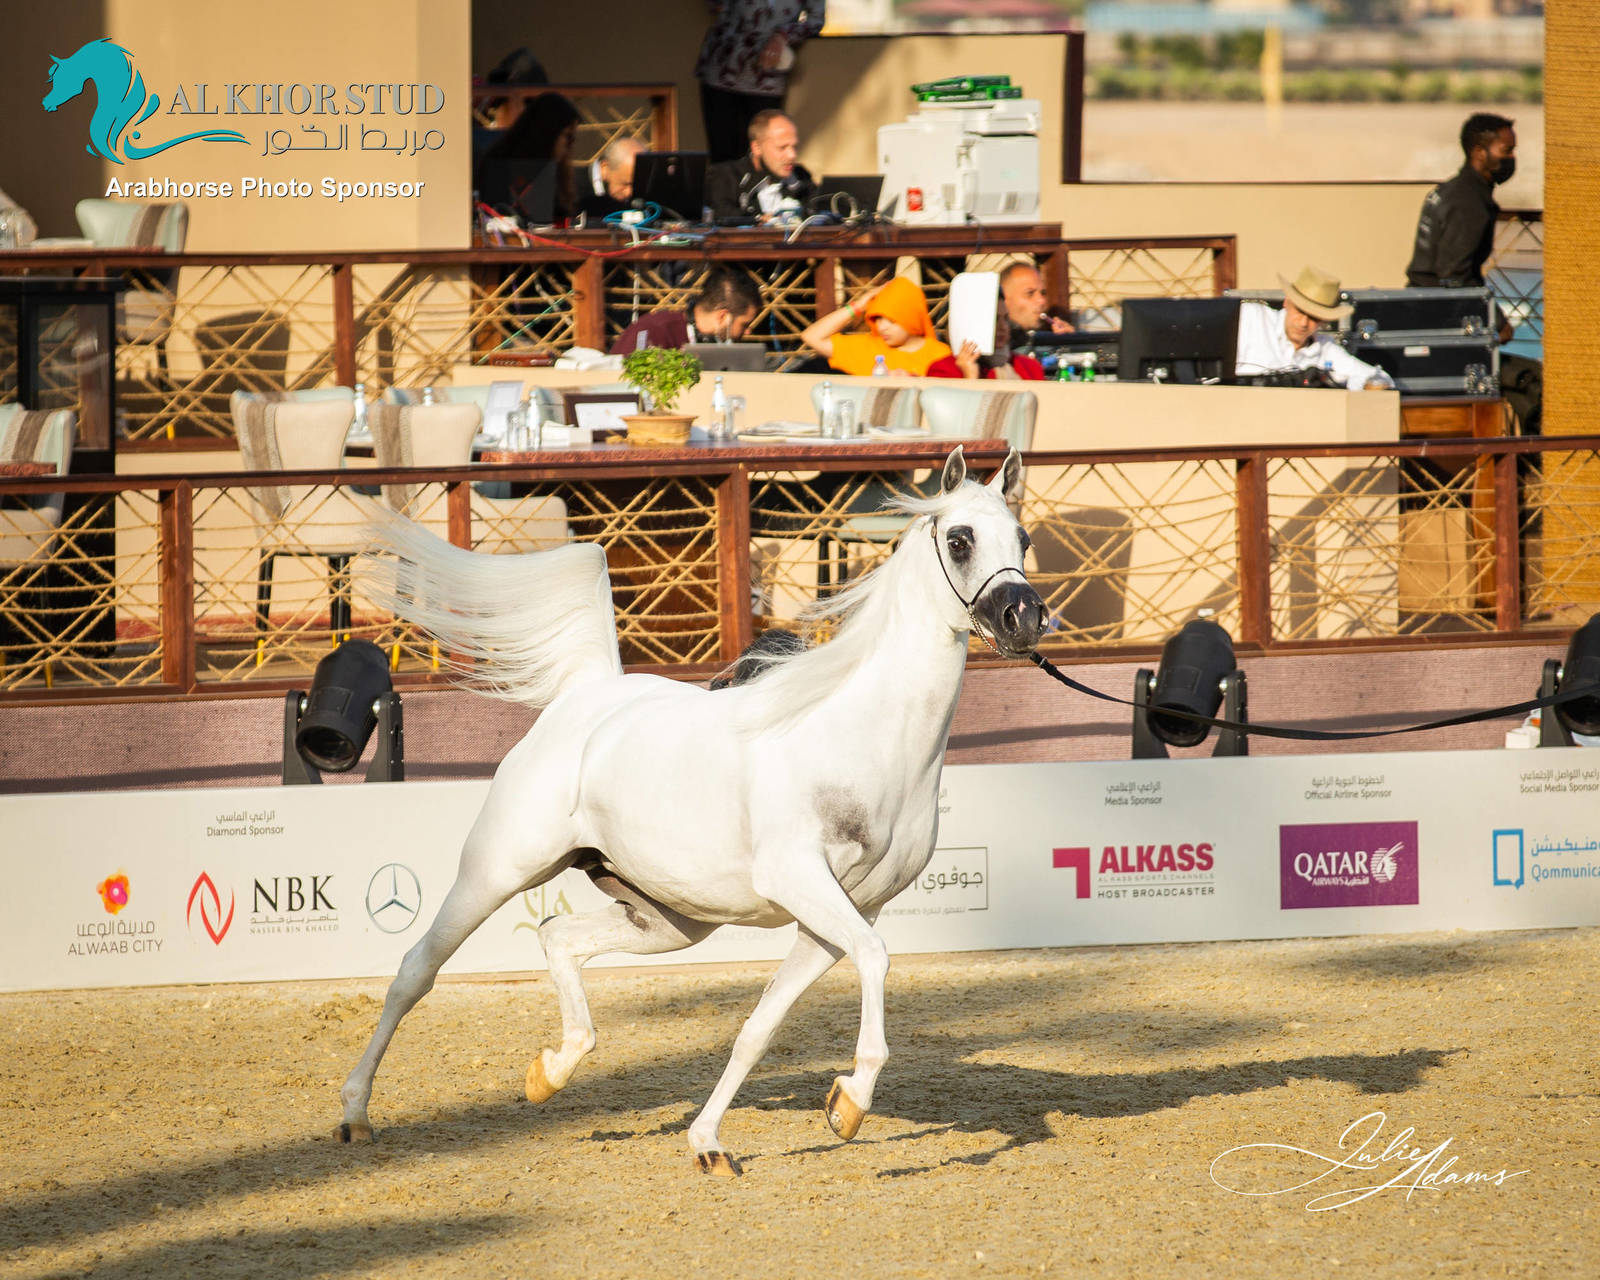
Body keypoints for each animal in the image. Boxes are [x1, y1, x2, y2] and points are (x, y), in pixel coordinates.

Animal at [337, 446, 1045, 1175]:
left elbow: (759, 1026)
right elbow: (875, 961)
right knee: (415, 971)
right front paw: (850, 1101)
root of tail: (589, 695)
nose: (1024, 620)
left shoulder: (843, 912)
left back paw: (550, 1072)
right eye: (959, 539)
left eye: (1023, 539)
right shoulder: (805, 883)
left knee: (556, 937)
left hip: (668, 919)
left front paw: (711, 1143)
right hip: (497, 870)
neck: (867, 737)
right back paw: (356, 1114)